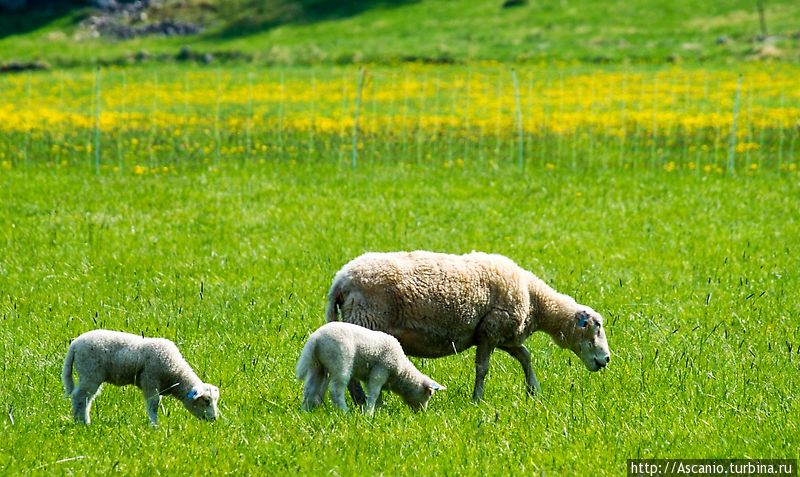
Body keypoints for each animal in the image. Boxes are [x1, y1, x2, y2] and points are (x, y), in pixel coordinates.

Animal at [61, 330, 220, 426]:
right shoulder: (150, 380)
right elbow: (153, 405)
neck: (175, 373)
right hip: (90, 373)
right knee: (80, 397)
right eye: (206, 401)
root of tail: (74, 345)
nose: (214, 419)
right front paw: (154, 426)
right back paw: (83, 423)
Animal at [324, 251, 612, 400]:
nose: (607, 359)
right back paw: (365, 402)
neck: (535, 301)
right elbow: (483, 368)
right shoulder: (491, 329)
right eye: (596, 326)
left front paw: (533, 391)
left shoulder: (504, 336)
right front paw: (478, 399)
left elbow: (525, 356)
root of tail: (341, 280)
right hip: (366, 321)